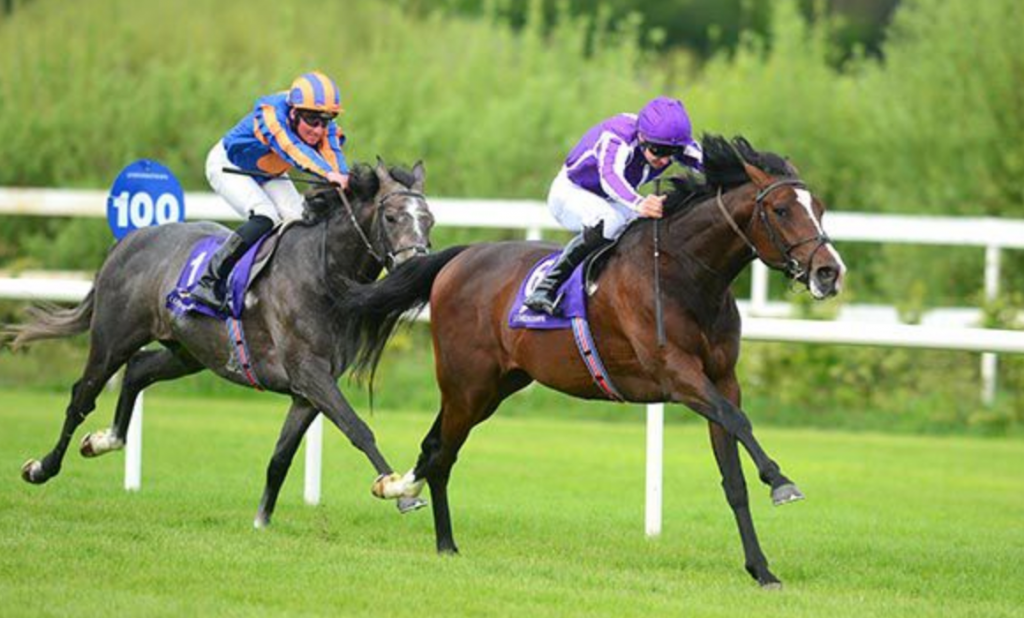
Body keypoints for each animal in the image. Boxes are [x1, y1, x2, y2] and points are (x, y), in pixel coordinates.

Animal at [2, 158, 436, 526]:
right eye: (392, 216)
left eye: (429, 220)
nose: (416, 262)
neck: (323, 273)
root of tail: (129, 240)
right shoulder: (309, 373)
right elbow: (358, 428)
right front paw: (398, 488)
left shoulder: (308, 391)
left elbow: (281, 457)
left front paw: (261, 523)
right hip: (114, 338)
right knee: (81, 396)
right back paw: (41, 468)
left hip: (189, 351)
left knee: (138, 370)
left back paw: (104, 440)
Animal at [335, 136, 847, 587]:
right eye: (781, 210)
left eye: (819, 208)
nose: (829, 272)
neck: (685, 273)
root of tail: (457, 259)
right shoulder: (678, 375)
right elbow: (739, 421)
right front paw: (781, 481)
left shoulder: (722, 378)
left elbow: (733, 476)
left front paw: (761, 570)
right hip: (467, 384)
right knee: (441, 452)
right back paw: (425, 520)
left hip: (494, 387)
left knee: (437, 448)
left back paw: (427, 521)